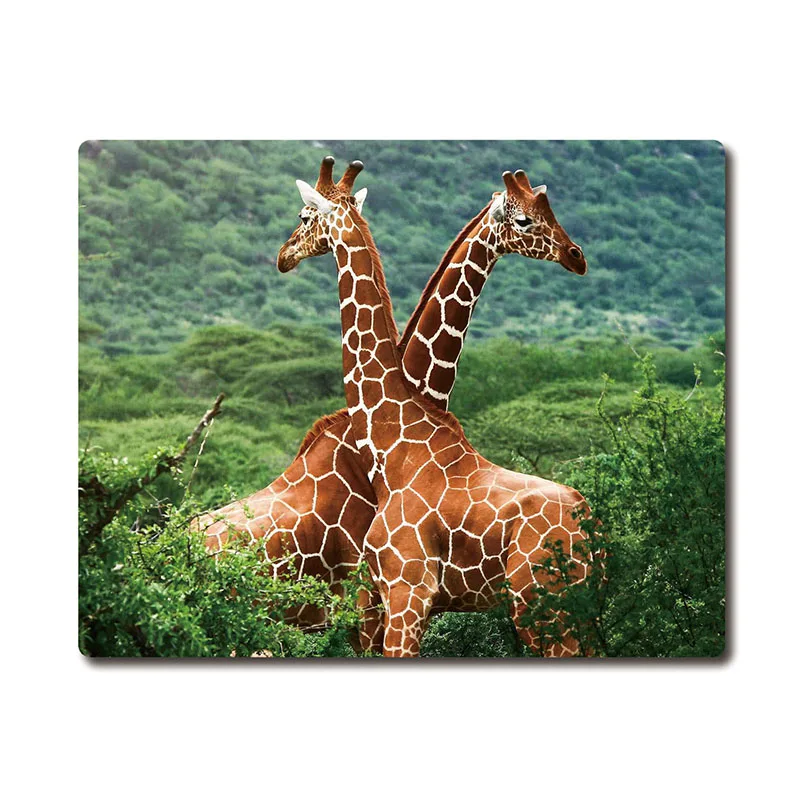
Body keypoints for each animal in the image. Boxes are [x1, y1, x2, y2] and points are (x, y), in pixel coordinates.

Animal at [276, 156, 597, 657]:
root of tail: (593, 531)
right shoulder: (389, 599)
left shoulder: (405, 590)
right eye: (525, 218)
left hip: (544, 606)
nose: (577, 256)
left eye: (304, 216)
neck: (394, 437)